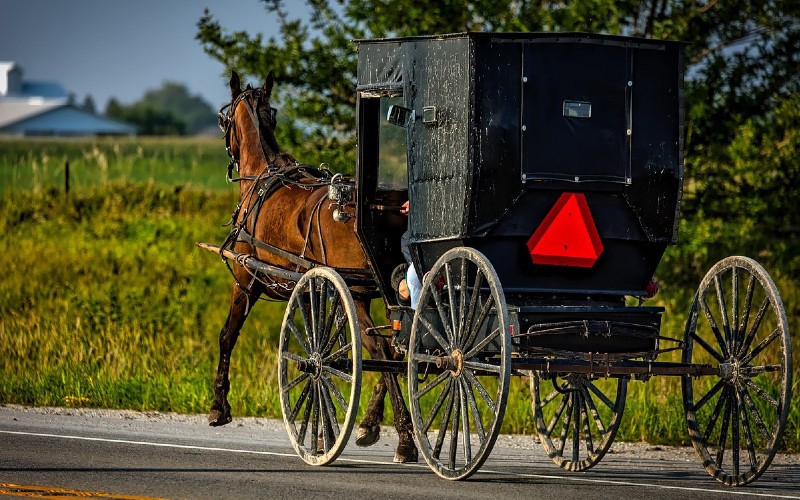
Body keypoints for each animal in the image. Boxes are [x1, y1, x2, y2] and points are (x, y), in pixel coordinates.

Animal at [206, 70, 418, 464]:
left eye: (224, 119)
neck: (262, 177)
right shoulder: (312, 290)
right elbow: (326, 350)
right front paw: (324, 431)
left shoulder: (245, 281)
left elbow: (228, 335)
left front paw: (218, 406)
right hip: (381, 292)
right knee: (399, 349)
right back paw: (371, 426)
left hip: (358, 293)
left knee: (383, 351)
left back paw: (405, 438)